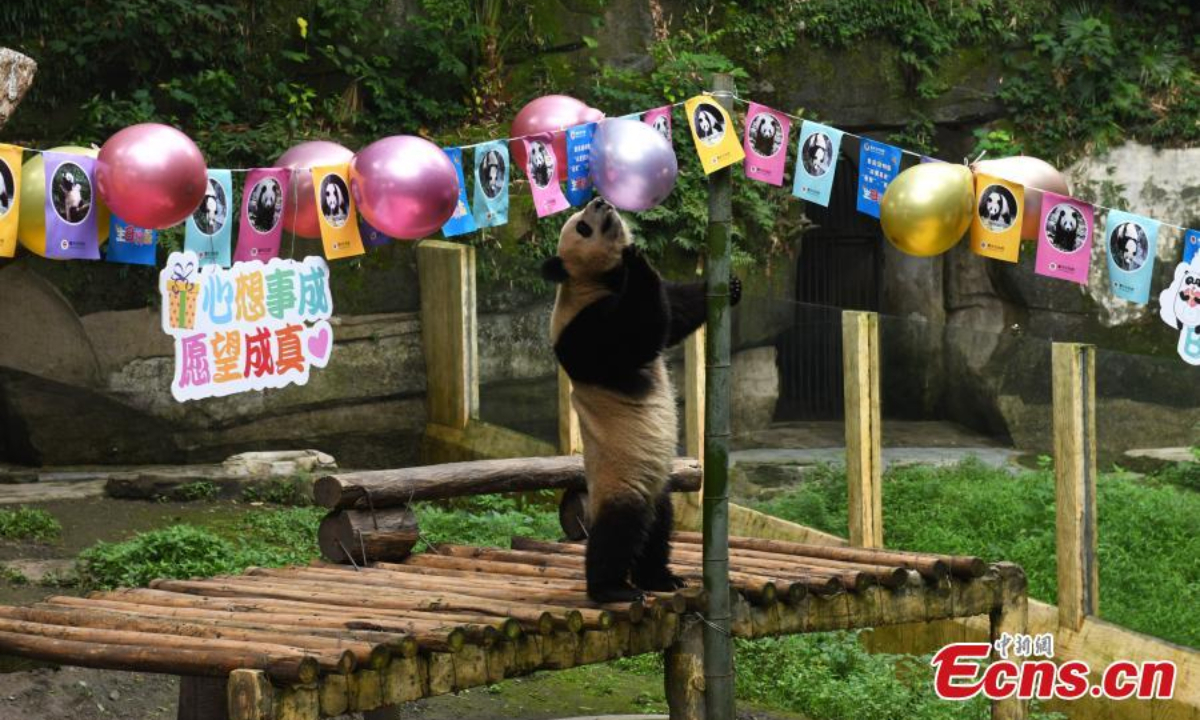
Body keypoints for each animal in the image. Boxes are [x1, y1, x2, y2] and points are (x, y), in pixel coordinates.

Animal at [541, 196, 740, 602]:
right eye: (582, 227)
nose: (601, 202)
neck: (591, 281)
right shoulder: (580, 324)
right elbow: (637, 334)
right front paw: (638, 258)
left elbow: (674, 315)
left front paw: (729, 286)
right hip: (621, 480)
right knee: (617, 531)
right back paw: (612, 589)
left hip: (657, 486)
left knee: (657, 529)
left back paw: (660, 578)